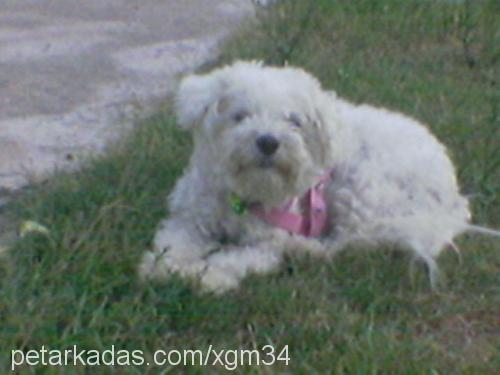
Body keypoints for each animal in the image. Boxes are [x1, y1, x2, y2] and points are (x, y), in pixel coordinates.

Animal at [139, 61, 498, 294]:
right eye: (240, 116)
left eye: (294, 121)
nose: (268, 141)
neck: (245, 196)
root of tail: (452, 200)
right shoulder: (189, 219)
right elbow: (171, 243)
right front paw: (164, 267)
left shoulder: (268, 241)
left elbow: (237, 259)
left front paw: (208, 275)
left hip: (360, 188)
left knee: (347, 243)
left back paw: (305, 249)